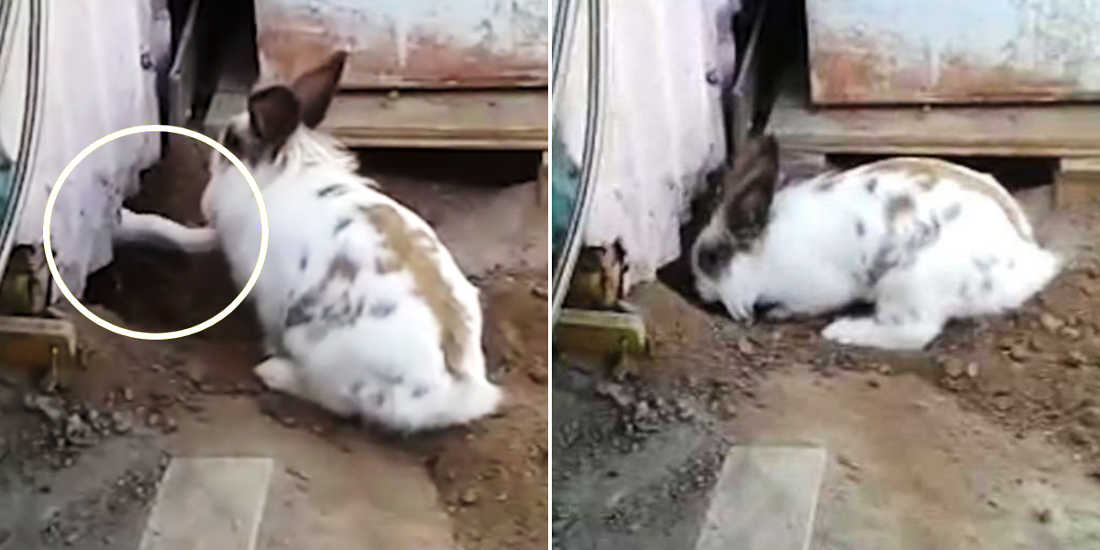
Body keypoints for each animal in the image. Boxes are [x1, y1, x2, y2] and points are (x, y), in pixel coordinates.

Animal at [117, 51, 503, 431]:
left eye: (231, 145)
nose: (206, 203)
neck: (279, 175)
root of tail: (448, 395)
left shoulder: (269, 295)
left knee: (337, 401)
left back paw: (275, 372)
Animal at [690, 136, 1060, 352]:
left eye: (711, 258)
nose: (700, 292)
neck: (766, 252)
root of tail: (1028, 261)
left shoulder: (818, 290)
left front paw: (780, 313)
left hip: (907, 284)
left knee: (915, 333)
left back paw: (841, 331)